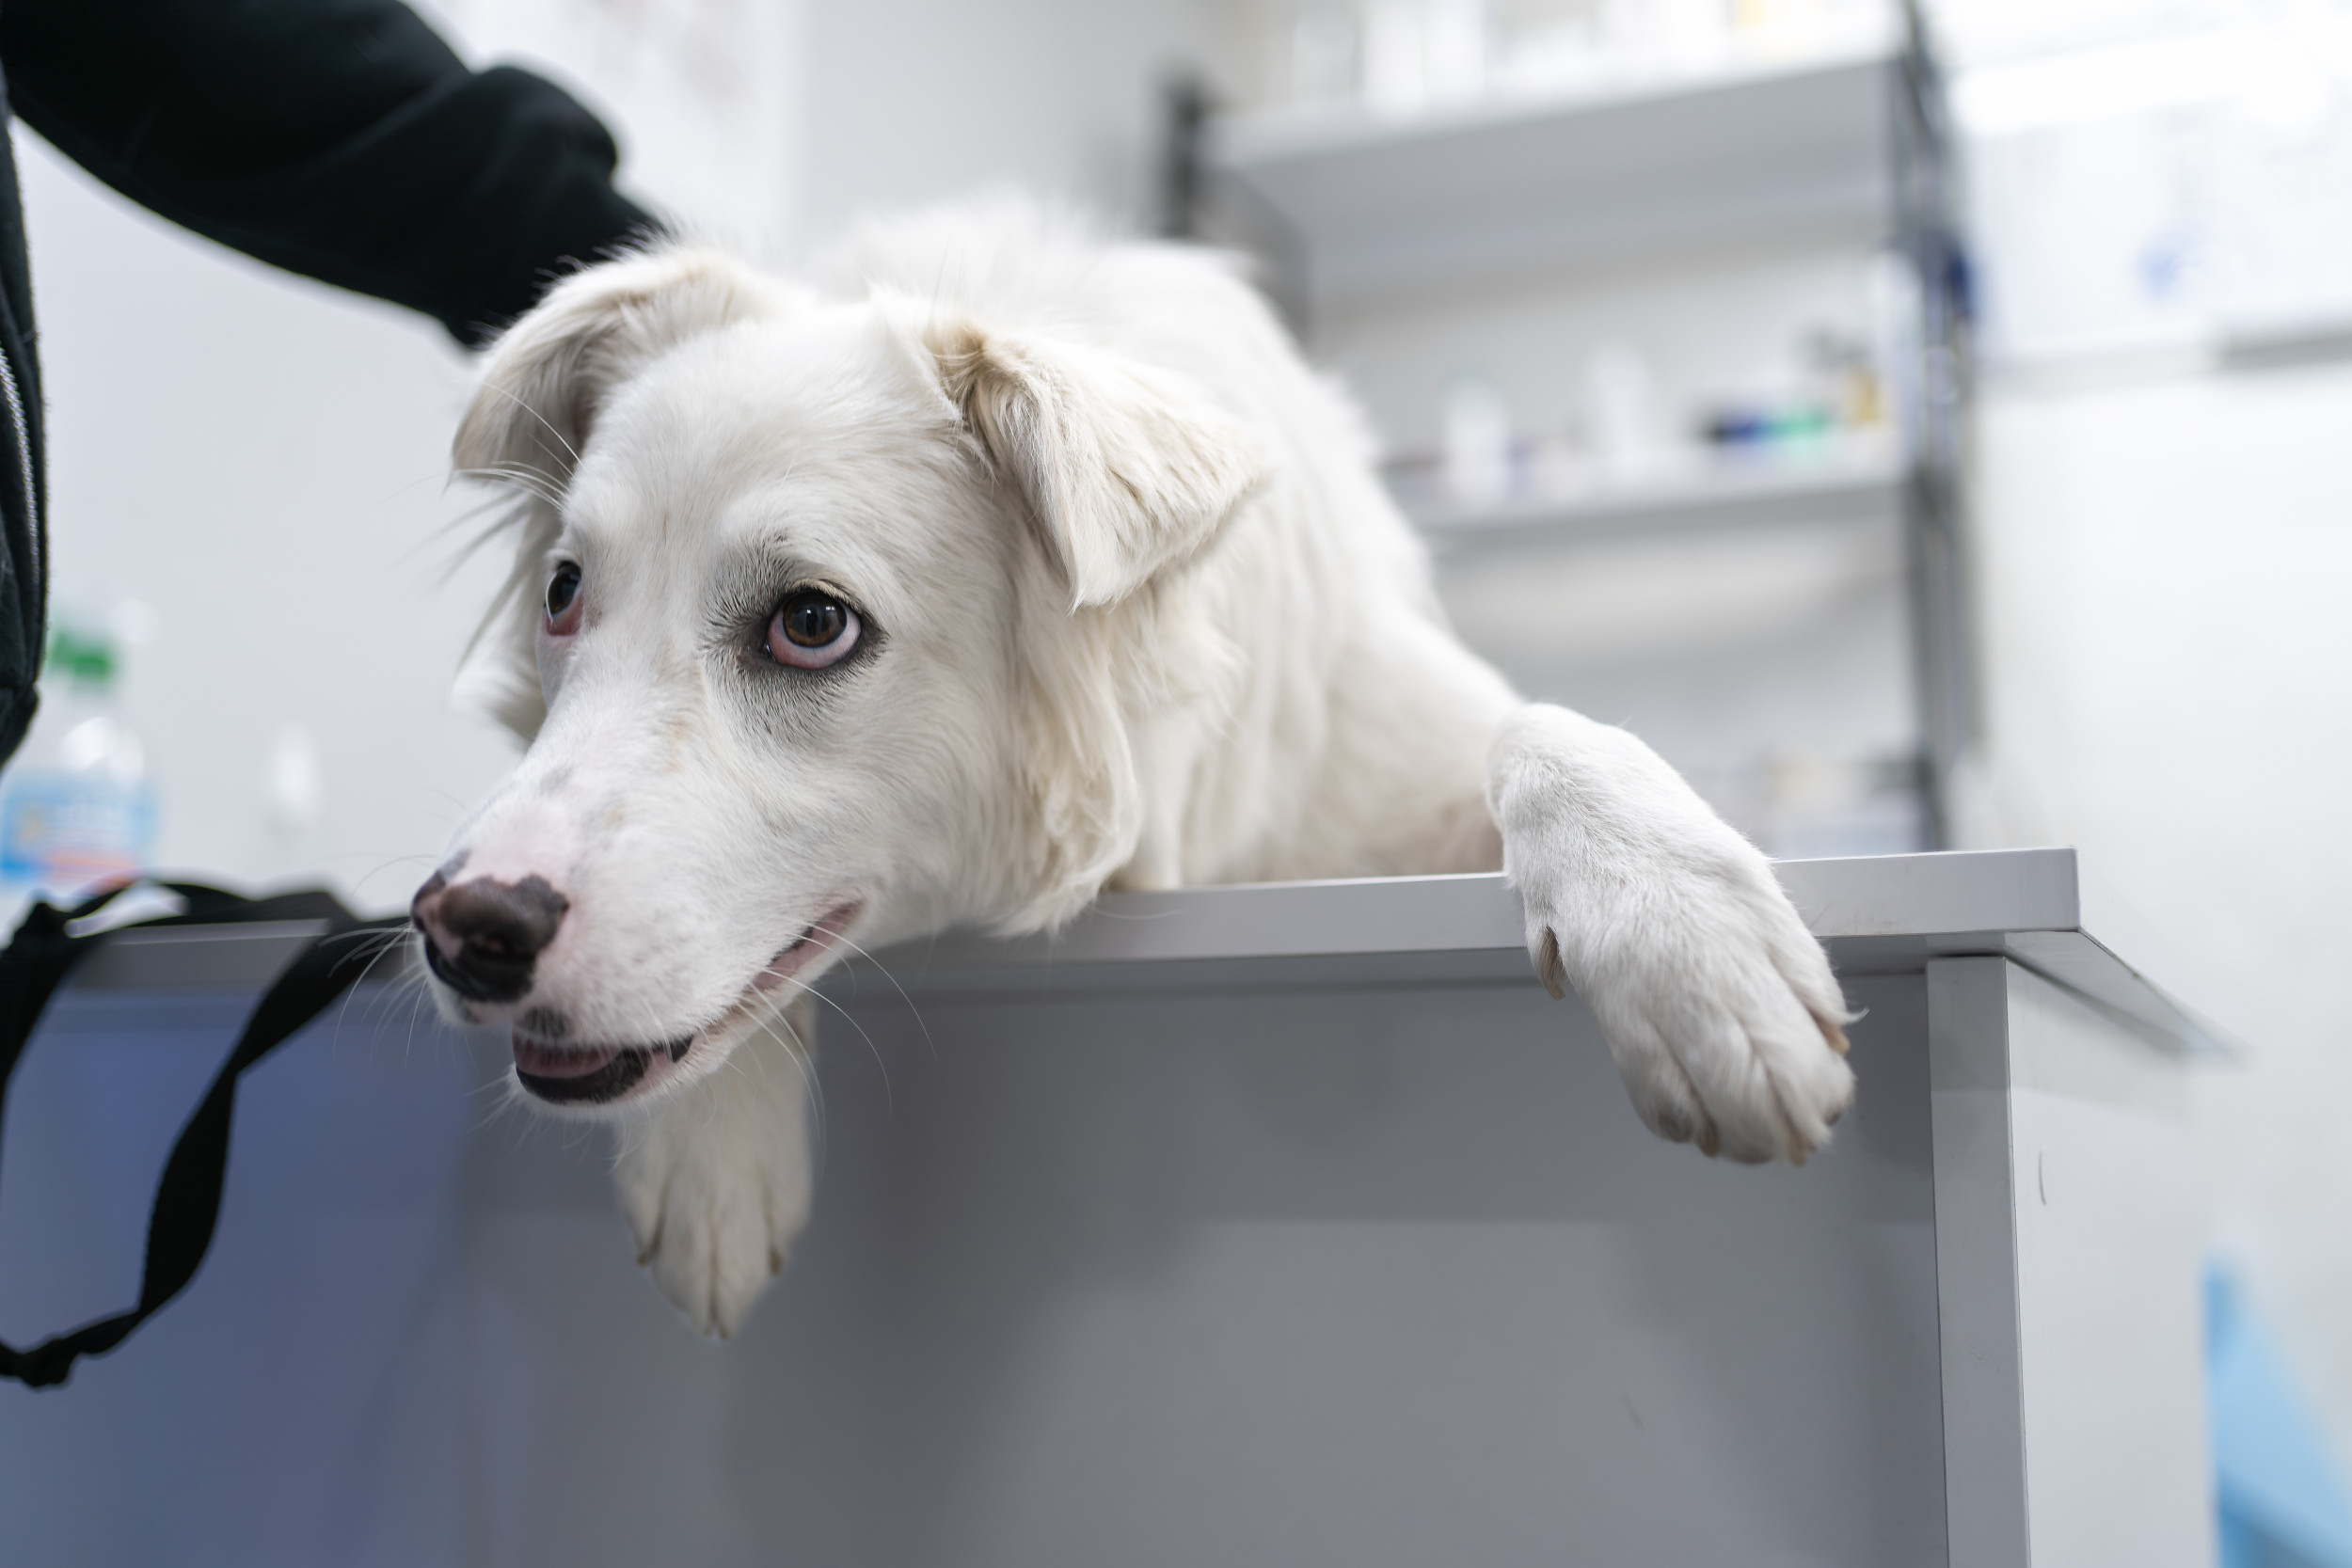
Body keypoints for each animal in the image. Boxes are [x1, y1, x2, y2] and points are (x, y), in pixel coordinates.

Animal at [419, 205, 1853, 1335]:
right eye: (564, 593)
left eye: (811, 622)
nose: (462, 929)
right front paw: (711, 1147)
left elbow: (1546, 724)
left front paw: (1689, 947)